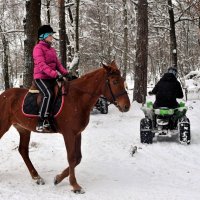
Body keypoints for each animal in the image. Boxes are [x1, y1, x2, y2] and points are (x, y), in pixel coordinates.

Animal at [0, 60, 130, 193]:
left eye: (122, 80)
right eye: (114, 82)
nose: (126, 106)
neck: (77, 98)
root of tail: (3, 95)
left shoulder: (77, 133)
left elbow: (78, 158)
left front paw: (58, 178)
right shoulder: (69, 134)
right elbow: (71, 158)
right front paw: (75, 185)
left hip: (24, 129)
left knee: (23, 150)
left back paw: (37, 177)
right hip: (4, 126)